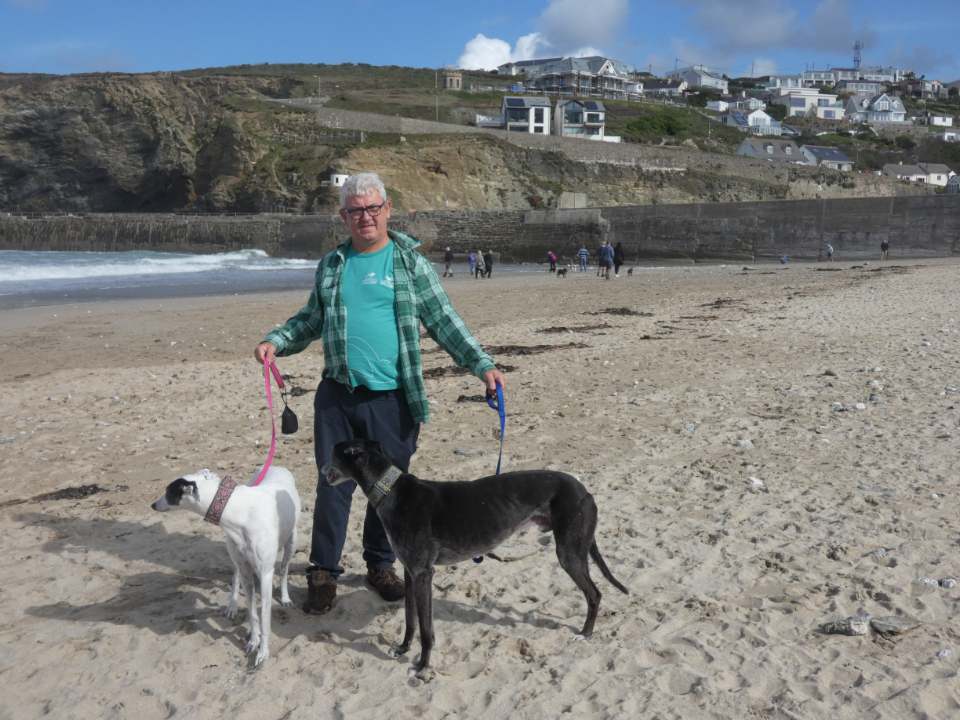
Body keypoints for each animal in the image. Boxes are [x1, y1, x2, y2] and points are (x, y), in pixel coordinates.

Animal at [151, 466, 300, 667]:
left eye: (169, 492)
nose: (153, 505)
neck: (240, 511)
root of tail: (277, 467)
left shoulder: (266, 574)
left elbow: (264, 617)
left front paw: (263, 652)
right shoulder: (245, 569)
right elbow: (252, 612)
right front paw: (253, 640)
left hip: (291, 542)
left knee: (284, 569)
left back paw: (285, 597)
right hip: (236, 555)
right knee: (235, 574)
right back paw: (232, 605)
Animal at [321, 440, 628, 674]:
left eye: (334, 452)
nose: (322, 469)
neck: (392, 492)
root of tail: (584, 491)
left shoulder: (423, 573)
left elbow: (426, 630)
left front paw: (422, 666)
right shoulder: (410, 572)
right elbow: (410, 620)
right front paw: (403, 648)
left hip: (569, 552)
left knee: (595, 593)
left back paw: (585, 633)